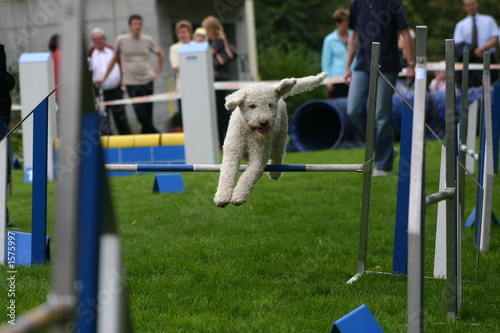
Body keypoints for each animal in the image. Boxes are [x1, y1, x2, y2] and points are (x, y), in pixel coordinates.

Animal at [214, 71, 328, 206]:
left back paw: (275, 173)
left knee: (277, 155)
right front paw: (222, 196)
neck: (250, 132)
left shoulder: (259, 157)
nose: (264, 122)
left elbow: (248, 175)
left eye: (270, 105)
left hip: (281, 136)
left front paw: (238, 195)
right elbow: (226, 173)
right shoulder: (232, 152)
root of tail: (274, 88)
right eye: (252, 106)